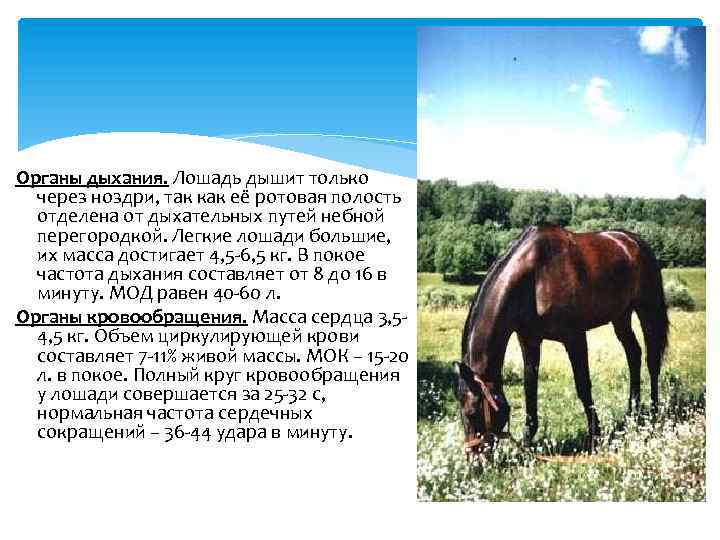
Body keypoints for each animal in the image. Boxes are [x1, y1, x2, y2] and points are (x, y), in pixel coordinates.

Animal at [455, 225, 669, 457]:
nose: (474, 460)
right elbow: (530, 387)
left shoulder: (574, 337)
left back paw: (653, 413)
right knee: (634, 354)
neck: (535, 277)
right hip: (621, 315)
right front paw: (527, 441)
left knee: (652, 359)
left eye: (472, 412)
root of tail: (633, 241)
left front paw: (595, 436)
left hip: (647, 309)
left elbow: (583, 386)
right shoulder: (529, 340)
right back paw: (632, 412)